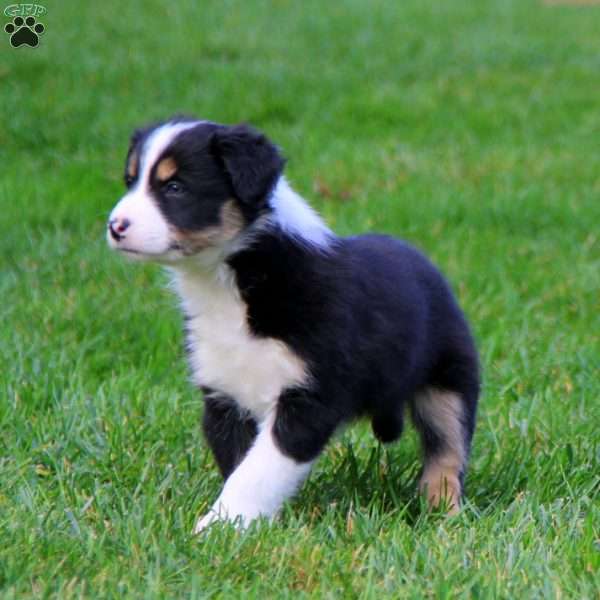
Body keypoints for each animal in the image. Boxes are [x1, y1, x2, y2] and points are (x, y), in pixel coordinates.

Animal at [108, 119, 480, 532]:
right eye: (130, 181)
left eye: (175, 187)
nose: (115, 226)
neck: (232, 283)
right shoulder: (224, 397)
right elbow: (240, 465)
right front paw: (237, 526)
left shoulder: (310, 398)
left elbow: (257, 471)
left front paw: (216, 527)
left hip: (449, 379)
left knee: (448, 450)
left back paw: (442, 511)